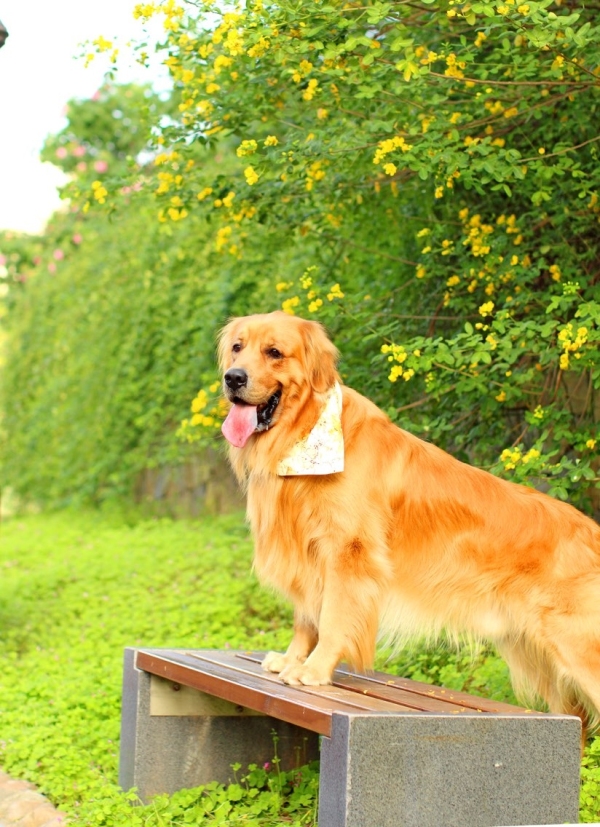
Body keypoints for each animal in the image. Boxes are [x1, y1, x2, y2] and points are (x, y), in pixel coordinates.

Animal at [218, 310, 600, 744]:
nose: (233, 378)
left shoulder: (348, 554)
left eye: (274, 352)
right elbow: (307, 617)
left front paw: (314, 670)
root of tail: (591, 532)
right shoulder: (307, 553)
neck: (303, 433)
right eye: (237, 347)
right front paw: (291, 658)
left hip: (579, 647)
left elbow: (331, 617)